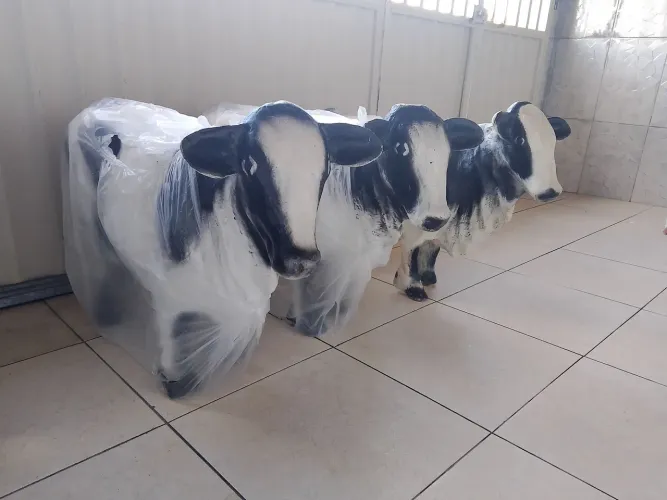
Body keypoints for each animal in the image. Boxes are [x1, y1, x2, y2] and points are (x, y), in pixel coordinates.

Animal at [64, 98, 383, 399]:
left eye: (325, 168)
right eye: (250, 166)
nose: (300, 259)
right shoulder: (170, 294)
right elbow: (173, 336)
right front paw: (176, 385)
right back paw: (108, 316)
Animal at [392, 101, 571, 301]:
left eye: (553, 142)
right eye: (520, 140)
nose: (551, 192)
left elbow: (431, 247)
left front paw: (428, 277)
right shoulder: (419, 220)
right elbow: (412, 251)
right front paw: (413, 288)